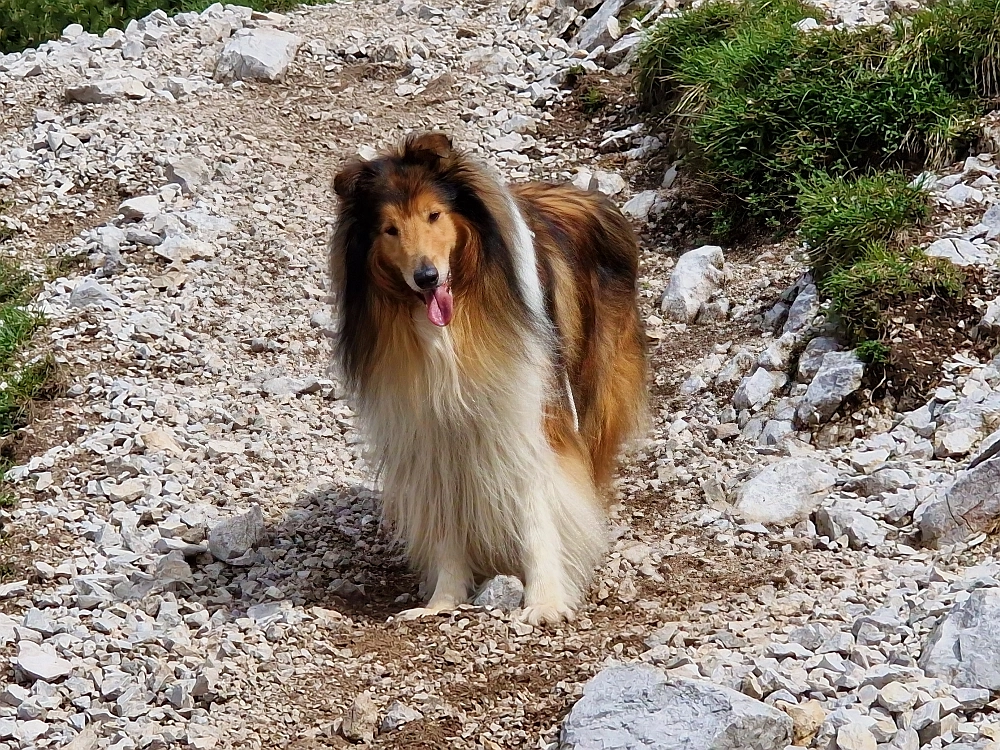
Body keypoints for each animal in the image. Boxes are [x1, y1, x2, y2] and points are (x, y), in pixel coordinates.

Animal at [328, 132, 648, 624]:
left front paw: (545, 600)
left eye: (434, 214)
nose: (426, 277)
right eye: (389, 229)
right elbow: (447, 522)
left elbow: (538, 507)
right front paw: (442, 600)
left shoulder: (531, 413)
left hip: (596, 387)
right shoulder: (430, 432)